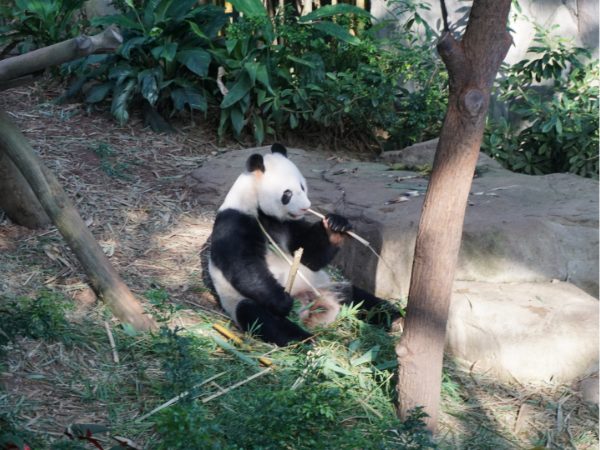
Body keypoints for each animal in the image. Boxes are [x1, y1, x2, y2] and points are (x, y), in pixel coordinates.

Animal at [206, 142, 398, 346]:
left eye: (303, 187)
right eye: (287, 194)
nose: (306, 207)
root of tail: (312, 307)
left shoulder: (289, 225)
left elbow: (311, 257)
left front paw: (335, 225)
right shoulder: (235, 221)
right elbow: (244, 265)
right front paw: (283, 300)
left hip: (329, 286)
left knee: (359, 297)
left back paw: (394, 318)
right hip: (240, 301)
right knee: (262, 318)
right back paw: (306, 339)